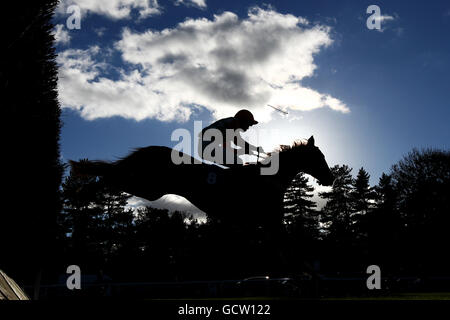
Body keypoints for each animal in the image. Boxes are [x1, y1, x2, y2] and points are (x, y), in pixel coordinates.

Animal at [68, 136, 332, 234]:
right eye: (319, 157)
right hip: (147, 186)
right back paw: (83, 188)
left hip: (148, 187)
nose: (331, 178)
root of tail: (150, 151)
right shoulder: (270, 222)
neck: (268, 179)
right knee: (109, 175)